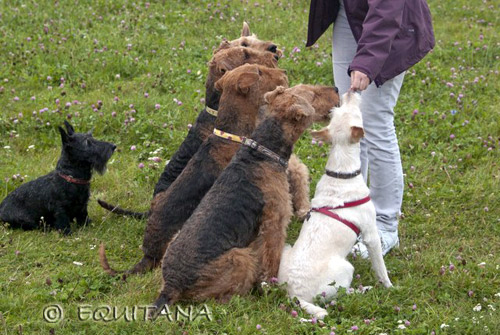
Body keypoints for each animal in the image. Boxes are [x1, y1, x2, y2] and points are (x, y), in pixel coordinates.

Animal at [278, 91, 390, 320]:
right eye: (356, 113)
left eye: (336, 112)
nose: (349, 91)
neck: (341, 172)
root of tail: (295, 295)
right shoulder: (371, 234)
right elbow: (381, 267)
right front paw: (389, 286)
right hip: (346, 268)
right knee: (342, 294)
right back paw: (364, 289)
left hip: (286, 249)